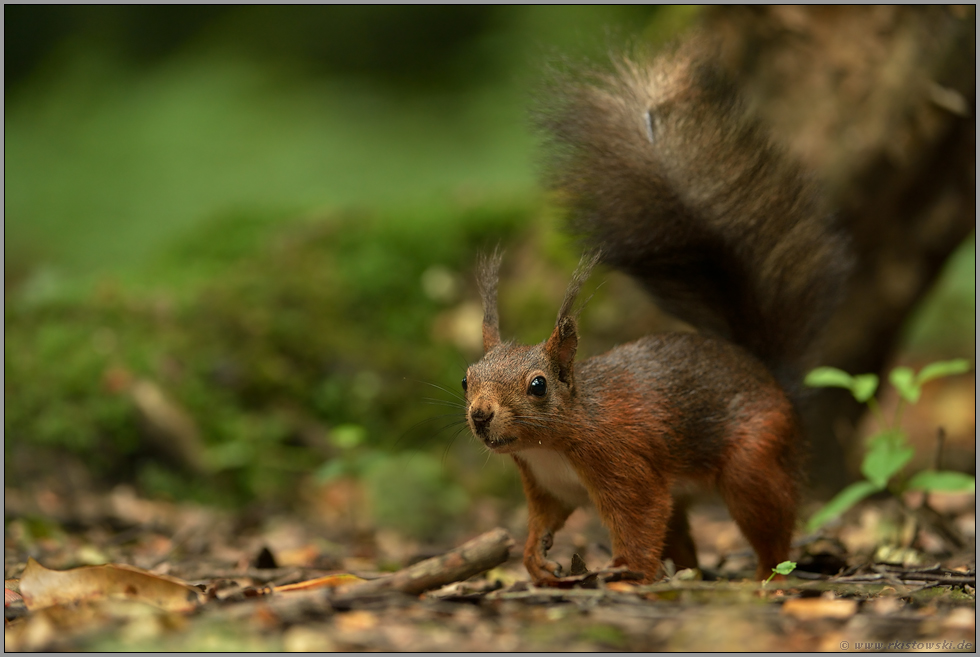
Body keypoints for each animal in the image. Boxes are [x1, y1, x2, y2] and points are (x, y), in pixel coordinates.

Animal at [462, 40, 852, 584]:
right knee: (682, 537)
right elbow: (544, 520)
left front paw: (628, 572)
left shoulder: (624, 464)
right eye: (466, 379)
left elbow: (640, 517)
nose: (479, 415)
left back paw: (762, 578)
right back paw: (687, 573)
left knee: (770, 526)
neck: (554, 442)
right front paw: (536, 560)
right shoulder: (546, 486)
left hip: (754, 461)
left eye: (537, 386)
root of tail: (770, 377)